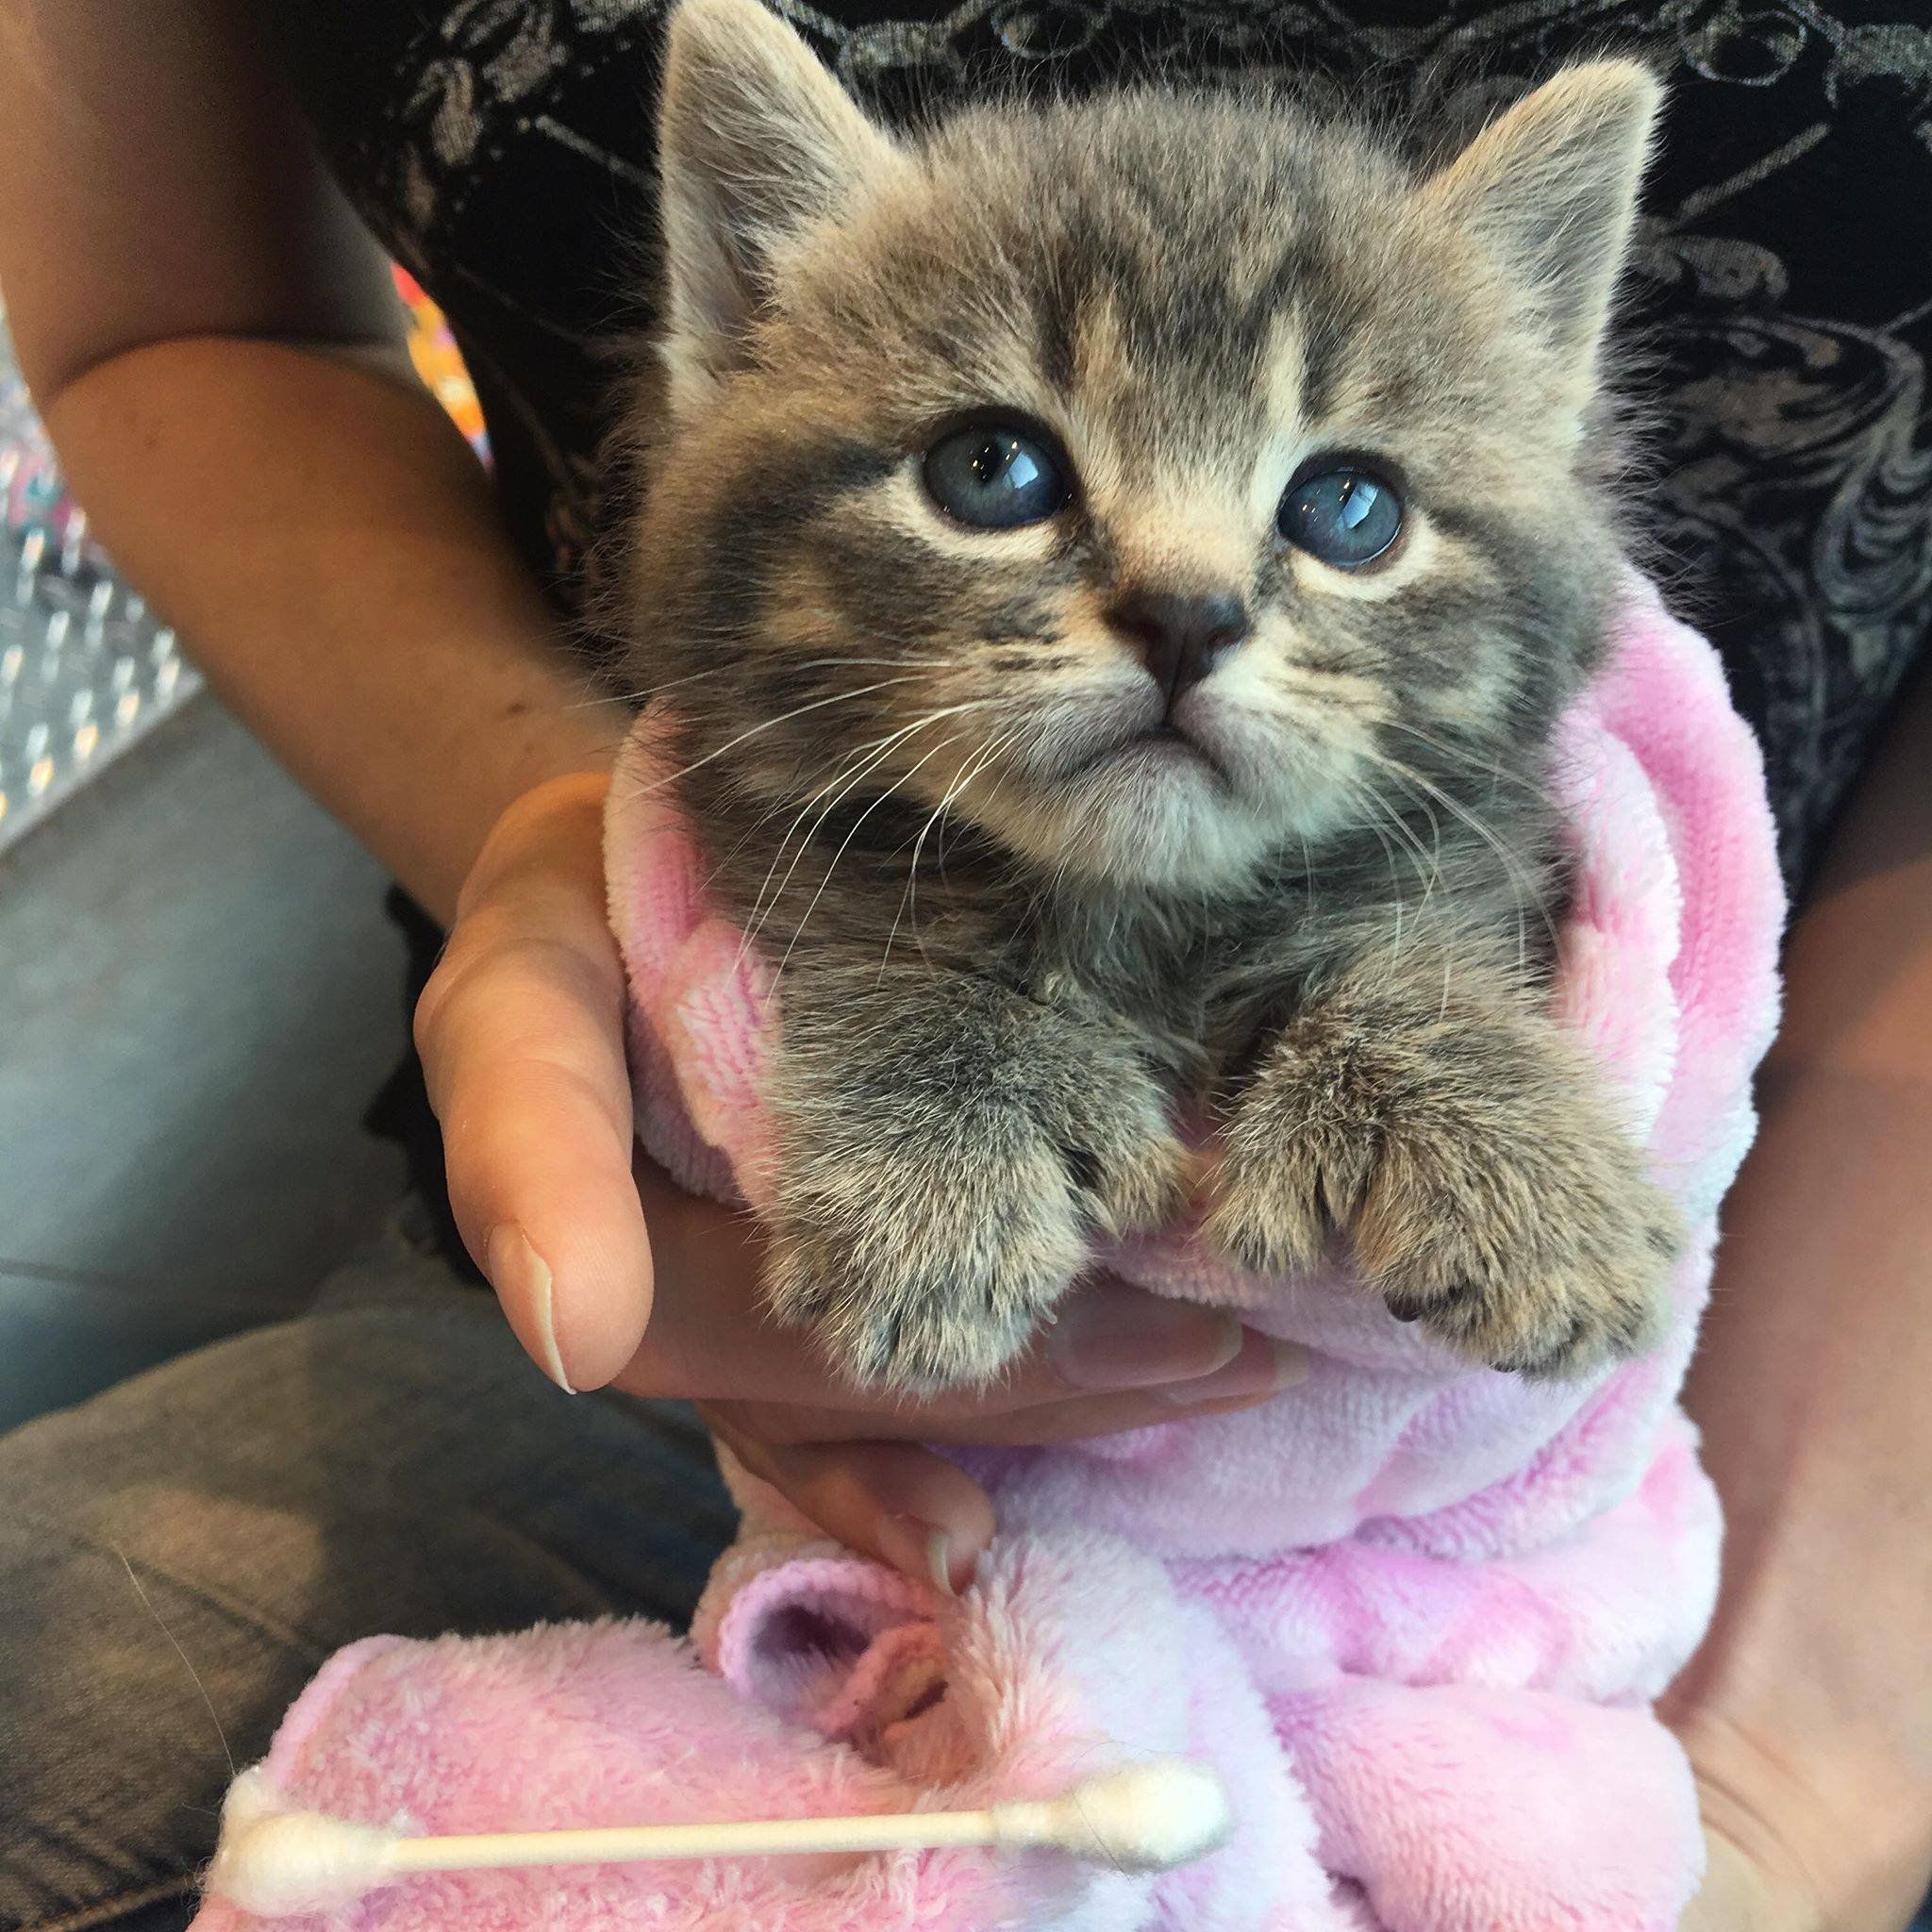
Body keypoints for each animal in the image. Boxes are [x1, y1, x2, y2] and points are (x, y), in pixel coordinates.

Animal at [610, 0, 1684, 1398]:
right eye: (990, 469)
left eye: (1350, 507)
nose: (1186, 615)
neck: (1140, 917)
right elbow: (867, 934)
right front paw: (933, 1154)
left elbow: (1419, 945)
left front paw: (1513, 1145)